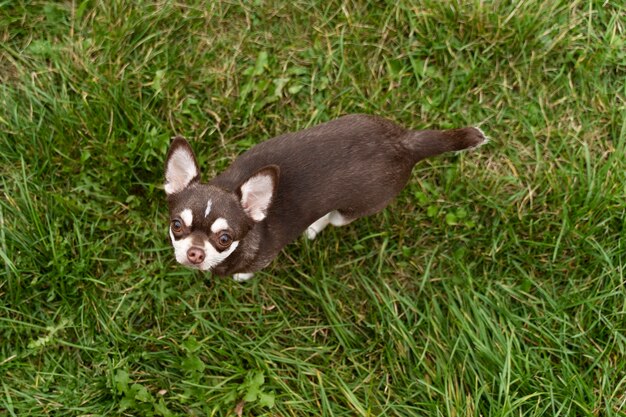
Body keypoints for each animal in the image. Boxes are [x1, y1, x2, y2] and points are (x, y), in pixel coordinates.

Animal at [163, 113, 486, 280]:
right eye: (177, 225)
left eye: (225, 238)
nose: (195, 253)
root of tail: (405, 143)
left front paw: (240, 277)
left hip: (354, 209)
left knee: (332, 218)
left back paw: (313, 228)